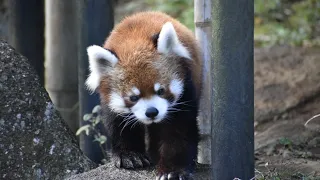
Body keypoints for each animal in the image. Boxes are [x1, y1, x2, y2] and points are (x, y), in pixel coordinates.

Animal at [85, 11, 202, 180]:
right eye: (133, 97)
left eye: (161, 91)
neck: (135, 41)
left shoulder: (186, 89)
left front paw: (173, 170)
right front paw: (130, 155)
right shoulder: (109, 99)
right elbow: (119, 124)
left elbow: (179, 130)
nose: (152, 112)